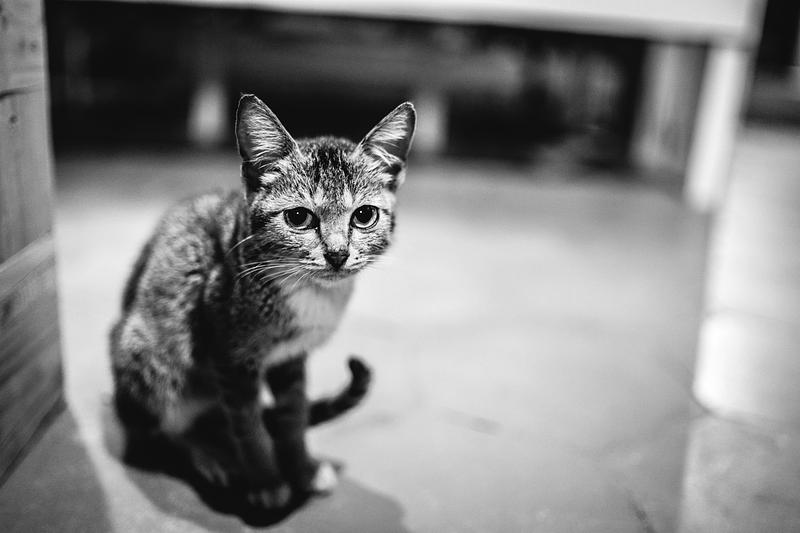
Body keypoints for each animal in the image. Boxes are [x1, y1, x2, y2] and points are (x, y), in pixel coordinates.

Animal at [109, 94, 415, 514]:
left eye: (364, 215)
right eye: (299, 217)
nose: (338, 254)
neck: (311, 291)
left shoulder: (291, 359)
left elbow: (293, 415)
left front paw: (302, 469)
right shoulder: (231, 357)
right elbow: (248, 425)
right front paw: (266, 481)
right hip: (148, 356)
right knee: (162, 429)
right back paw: (208, 453)